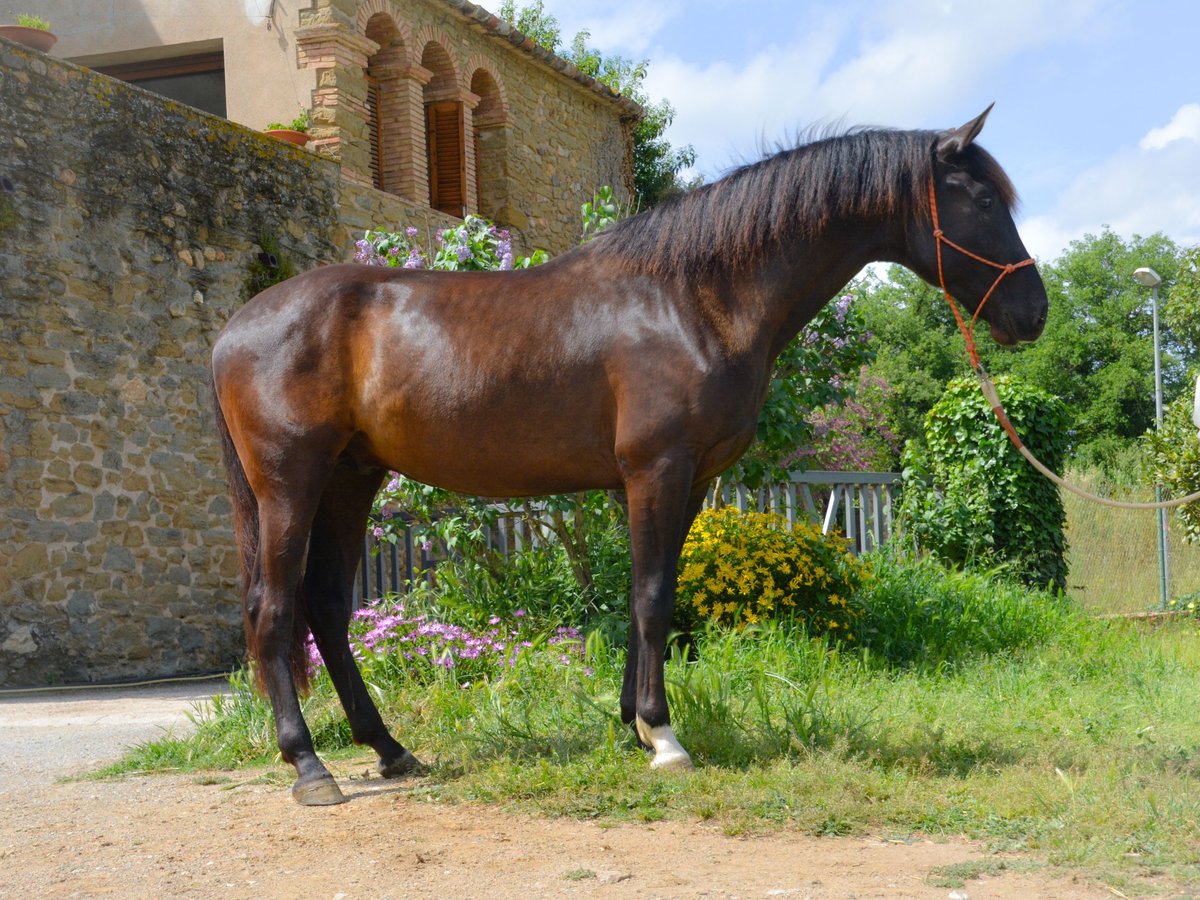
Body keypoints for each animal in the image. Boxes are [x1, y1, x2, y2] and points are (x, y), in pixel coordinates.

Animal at [210, 105, 1048, 805]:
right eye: (981, 200)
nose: (1033, 312)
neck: (693, 297)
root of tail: (234, 329)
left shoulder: (690, 478)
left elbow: (656, 592)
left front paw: (632, 725)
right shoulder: (658, 469)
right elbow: (648, 598)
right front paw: (663, 735)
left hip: (352, 477)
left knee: (325, 607)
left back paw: (389, 749)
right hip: (290, 482)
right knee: (274, 610)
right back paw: (309, 765)